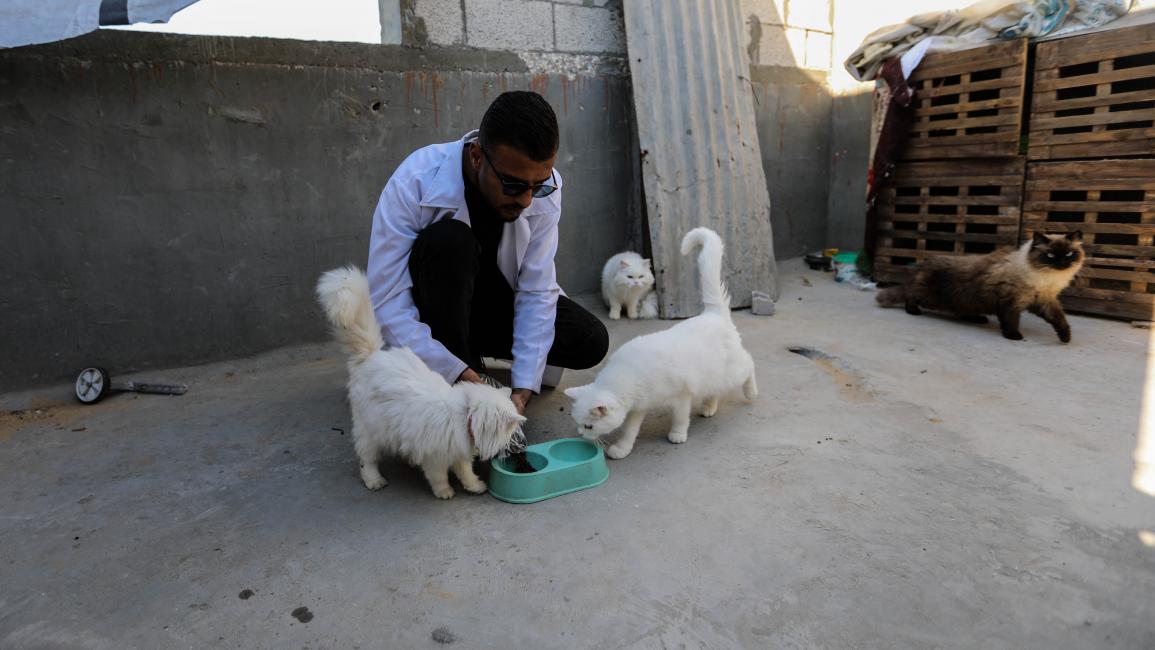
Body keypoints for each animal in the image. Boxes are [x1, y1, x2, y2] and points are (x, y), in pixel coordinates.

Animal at [314, 264, 526, 498]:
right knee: (367, 460)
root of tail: (372, 355)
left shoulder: (459, 453)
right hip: (370, 430)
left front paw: (474, 486)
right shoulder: (435, 456)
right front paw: (445, 492)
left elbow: (465, 471)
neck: (466, 417)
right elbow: (439, 476)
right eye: (513, 434)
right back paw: (374, 480)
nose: (519, 446)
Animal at [565, 226, 757, 459]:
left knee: (749, 363)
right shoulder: (638, 408)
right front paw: (622, 448)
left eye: (589, 426)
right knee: (715, 389)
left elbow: (680, 418)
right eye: (578, 423)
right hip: (713, 376)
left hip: (732, 371)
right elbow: (630, 431)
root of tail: (712, 313)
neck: (628, 374)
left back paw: (750, 392)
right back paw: (709, 407)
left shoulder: (682, 396)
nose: (581, 434)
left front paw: (677, 434)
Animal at [877, 234, 1085, 346]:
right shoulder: (1011, 303)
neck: (1045, 279)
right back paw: (913, 311)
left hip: (965, 300)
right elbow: (1011, 322)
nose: (1063, 263)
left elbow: (1059, 319)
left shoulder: (1044, 300)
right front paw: (1014, 337)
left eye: (1069, 253)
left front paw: (1065, 338)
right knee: (910, 295)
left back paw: (978, 319)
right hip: (930, 296)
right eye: (1050, 255)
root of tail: (922, 265)